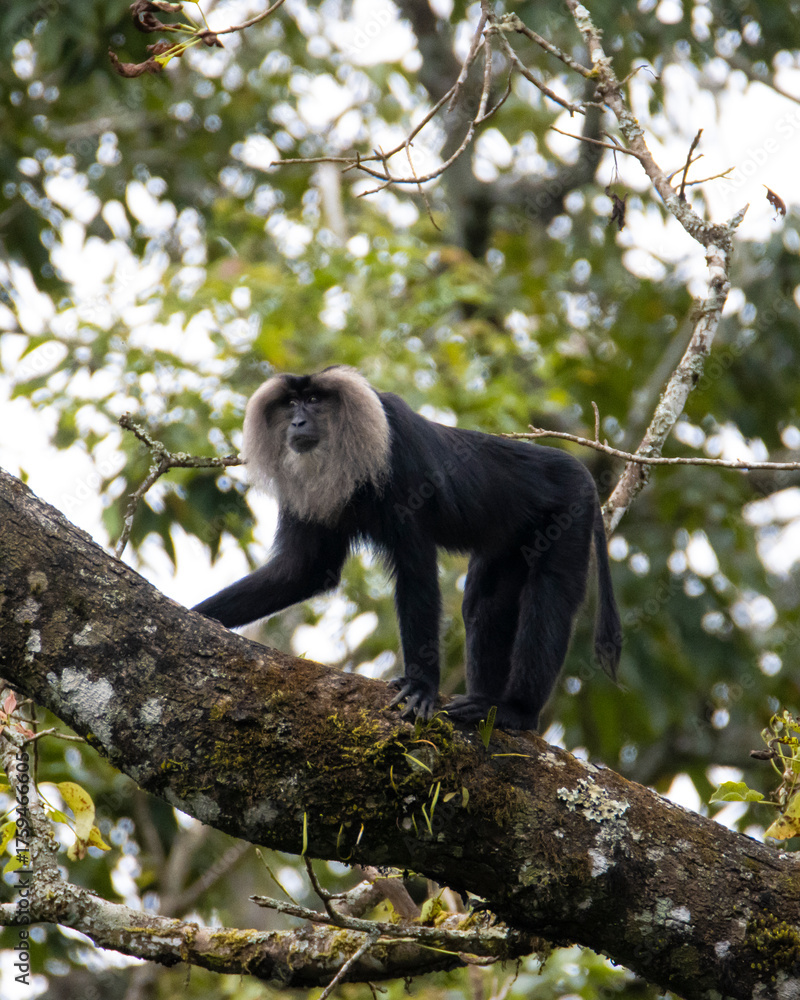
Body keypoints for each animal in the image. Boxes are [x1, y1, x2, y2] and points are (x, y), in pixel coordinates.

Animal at [193, 366, 621, 731]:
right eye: (290, 404)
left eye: (314, 400)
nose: (298, 422)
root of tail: (581, 471)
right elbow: (304, 569)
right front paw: (195, 616)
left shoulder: (401, 461)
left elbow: (416, 569)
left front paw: (421, 687)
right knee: (485, 602)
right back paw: (485, 703)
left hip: (571, 509)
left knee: (550, 591)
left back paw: (516, 713)